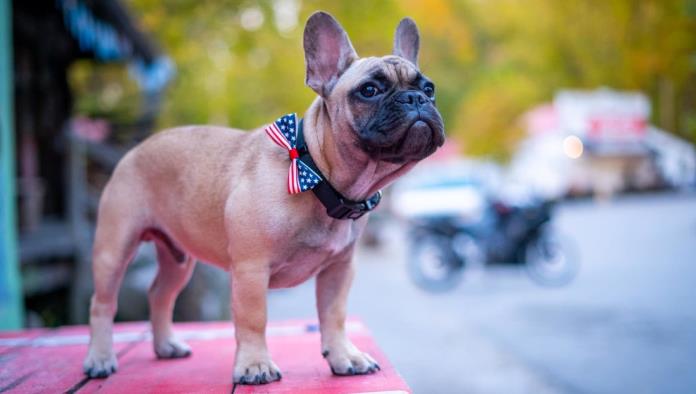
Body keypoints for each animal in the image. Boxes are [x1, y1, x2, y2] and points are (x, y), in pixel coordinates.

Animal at [84, 11, 444, 384]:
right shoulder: (251, 269)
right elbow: (253, 319)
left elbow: (334, 315)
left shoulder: (338, 270)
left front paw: (344, 356)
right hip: (114, 247)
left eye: (428, 89)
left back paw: (166, 345)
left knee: (159, 293)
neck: (316, 174)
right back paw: (100, 358)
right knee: (102, 303)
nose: (416, 99)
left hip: (177, 257)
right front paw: (255, 365)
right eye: (369, 90)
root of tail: (136, 149)